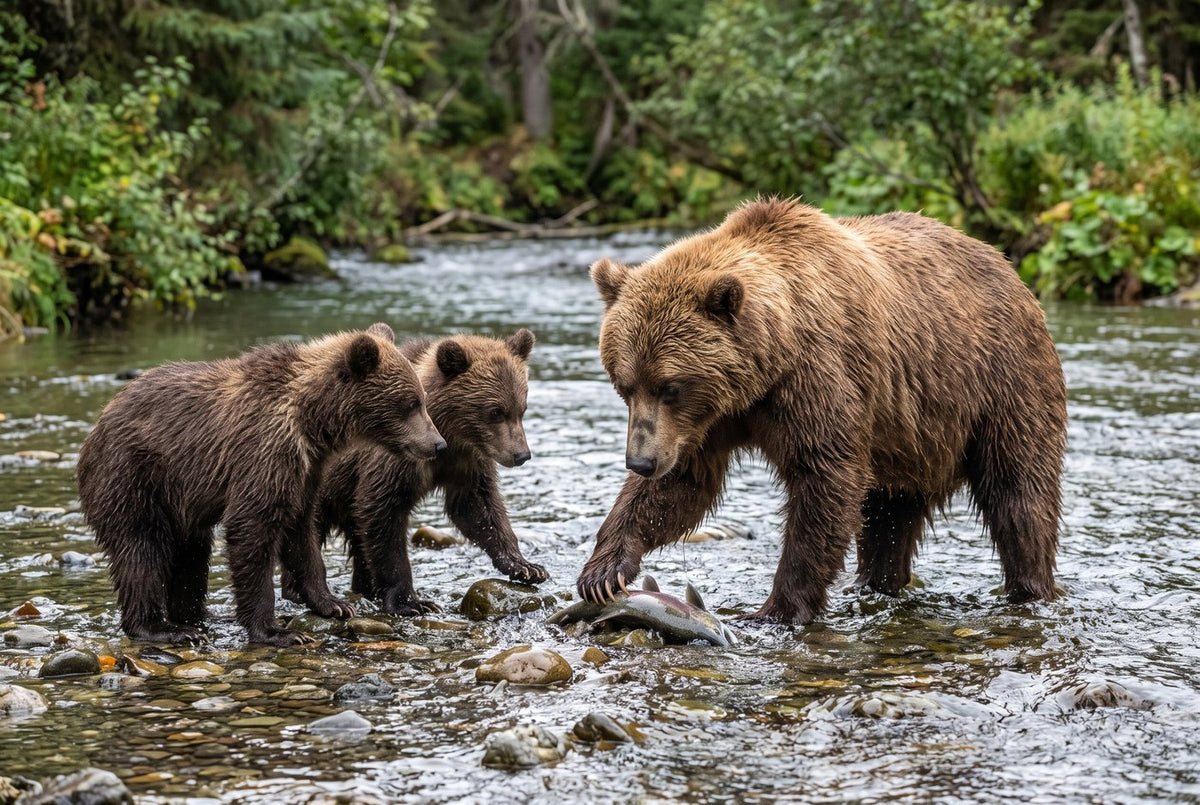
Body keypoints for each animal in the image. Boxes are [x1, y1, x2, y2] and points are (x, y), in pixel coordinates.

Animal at [76, 323, 446, 646]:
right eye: (412, 403)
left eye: (422, 398)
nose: (438, 444)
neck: (312, 422)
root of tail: (95, 428)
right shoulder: (264, 452)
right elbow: (252, 528)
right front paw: (275, 631)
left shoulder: (306, 472)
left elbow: (301, 533)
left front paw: (334, 603)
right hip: (134, 478)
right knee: (142, 550)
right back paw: (163, 628)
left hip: (180, 502)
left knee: (192, 555)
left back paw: (199, 617)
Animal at [281, 329, 549, 615]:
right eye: (495, 411)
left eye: (521, 408)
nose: (521, 455)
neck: (449, 434)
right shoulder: (395, 458)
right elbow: (384, 515)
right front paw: (411, 601)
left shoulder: (467, 461)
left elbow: (478, 507)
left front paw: (526, 567)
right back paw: (298, 591)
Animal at [576, 198, 1067, 624]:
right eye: (624, 384)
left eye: (671, 386)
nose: (639, 461)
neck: (766, 368)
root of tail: (1007, 266)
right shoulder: (707, 422)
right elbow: (681, 484)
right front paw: (602, 571)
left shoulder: (817, 379)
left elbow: (824, 481)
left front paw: (777, 609)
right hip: (909, 438)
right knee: (890, 515)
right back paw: (875, 583)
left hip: (997, 384)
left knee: (1019, 493)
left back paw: (1029, 587)